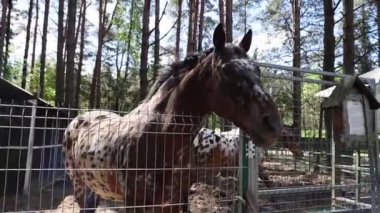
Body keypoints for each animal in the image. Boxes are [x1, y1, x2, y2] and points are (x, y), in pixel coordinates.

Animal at [62, 23, 282, 213]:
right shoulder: (136, 204)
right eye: (227, 71)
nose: (273, 126)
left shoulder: (172, 202)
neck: (161, 137)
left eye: (257, 70)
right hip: (80, 186)